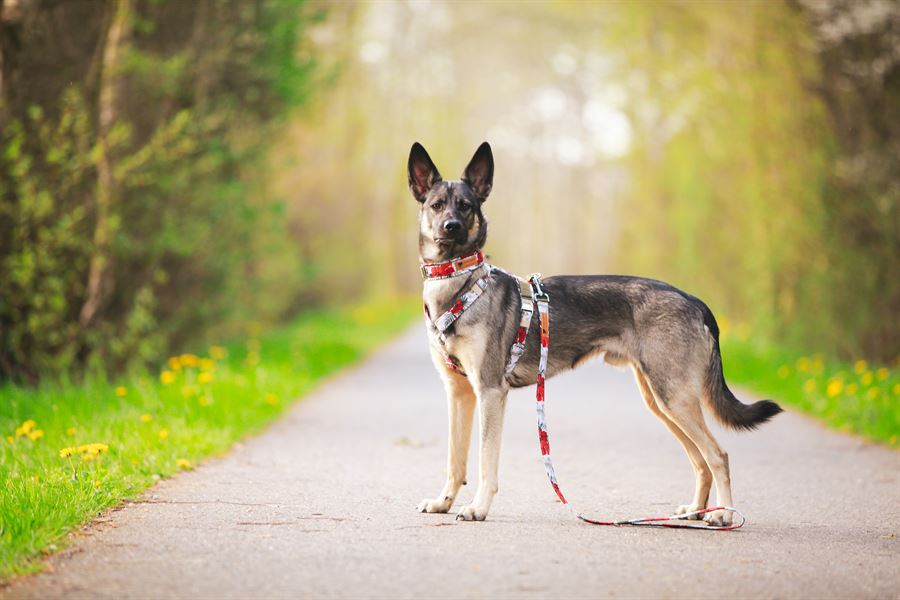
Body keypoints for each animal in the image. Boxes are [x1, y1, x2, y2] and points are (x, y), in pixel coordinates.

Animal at [412, 142, 784, 524]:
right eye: (436, 205)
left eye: (466, 206)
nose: (451, 227)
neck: (459, 283)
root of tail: (694, 300)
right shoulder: (459, 393)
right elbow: (455, 460)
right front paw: (443, 502)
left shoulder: (489, 391)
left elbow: (486, 461)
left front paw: (478, 508)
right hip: (661, 400)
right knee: (700, 460)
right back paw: (695, 509)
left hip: (674, 397)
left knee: (717, 455)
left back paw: (723, 515)